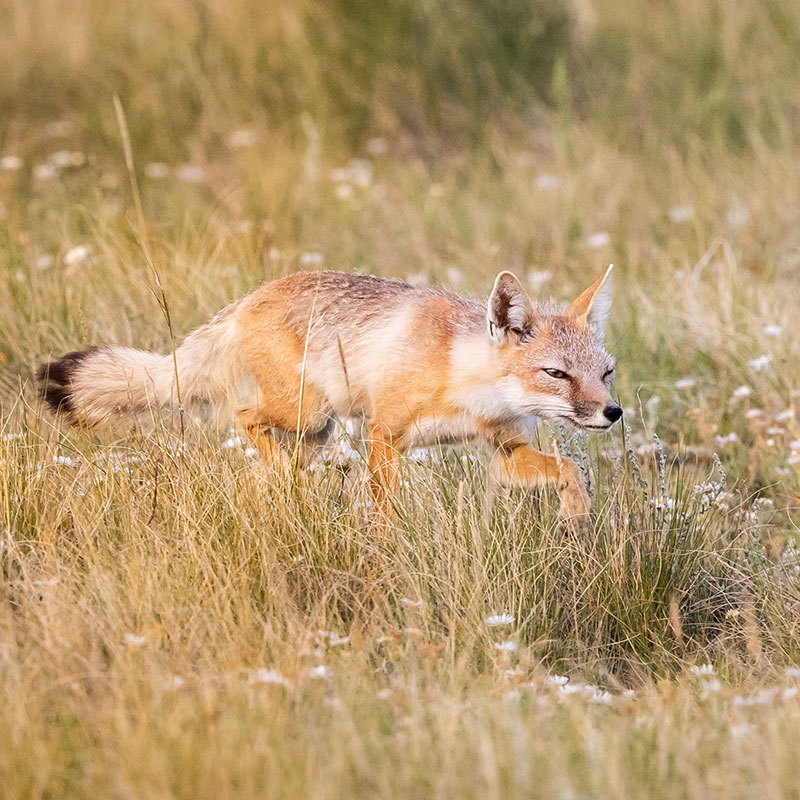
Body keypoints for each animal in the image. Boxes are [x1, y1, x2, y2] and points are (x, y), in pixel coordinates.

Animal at [38, 266, 621, 520]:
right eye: (557, 374)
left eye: (606, 373)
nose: (613, 412)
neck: (464, 380)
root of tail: (247, 298)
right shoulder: (385, 435)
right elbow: (383, 512)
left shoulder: (504, 452)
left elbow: (570, 471)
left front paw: (576, 515)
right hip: (308, 415)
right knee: (244, 416)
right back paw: (285, 478)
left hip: (313, 433)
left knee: (258, 470)